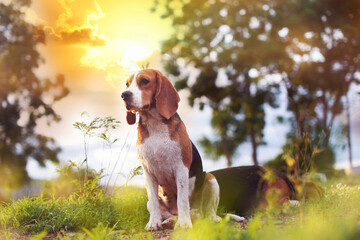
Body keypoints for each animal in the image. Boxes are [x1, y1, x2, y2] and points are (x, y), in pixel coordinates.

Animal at [121, 68, 219, 230]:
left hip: (211, 179)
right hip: (152, 203)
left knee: (205, 213)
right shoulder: (148, 172)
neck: (155, 124)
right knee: (165, 212)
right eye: (127, 84)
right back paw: (169, 221)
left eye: (144, 81)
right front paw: (153, 222)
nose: (124, 95)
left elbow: (182, 200)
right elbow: (154, 200)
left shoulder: (181, 168)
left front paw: (184, 224)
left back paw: (206, 219)